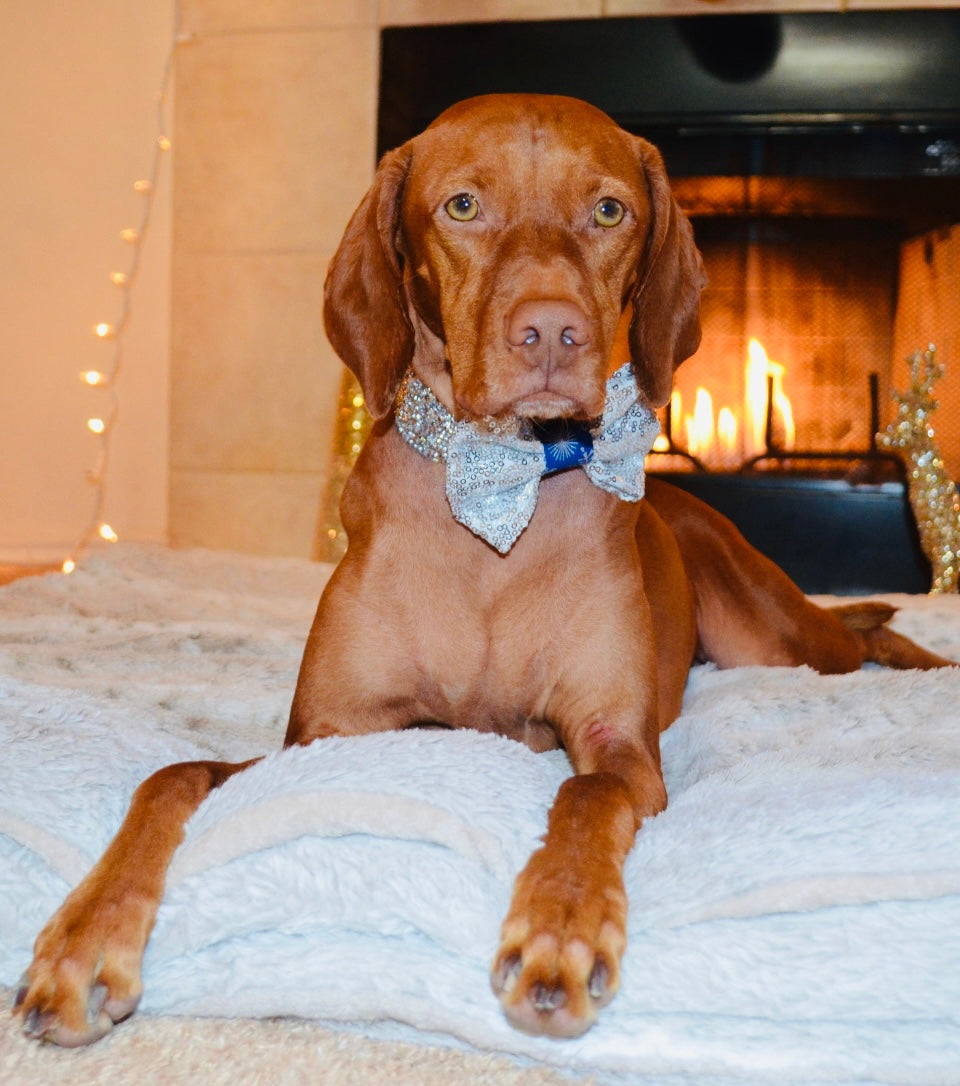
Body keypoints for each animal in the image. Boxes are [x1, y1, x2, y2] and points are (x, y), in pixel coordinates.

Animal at [15, 93, 951, 1042]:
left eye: (608, 210)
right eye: (463, 206)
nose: (552, 333)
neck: (501, 503)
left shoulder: (620, 748)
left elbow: (584, 801)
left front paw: (560, 926)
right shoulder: (326, 739)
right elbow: (172, 777)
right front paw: (84, 939)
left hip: (774, 640)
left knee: (865, 633)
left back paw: (930, 662)